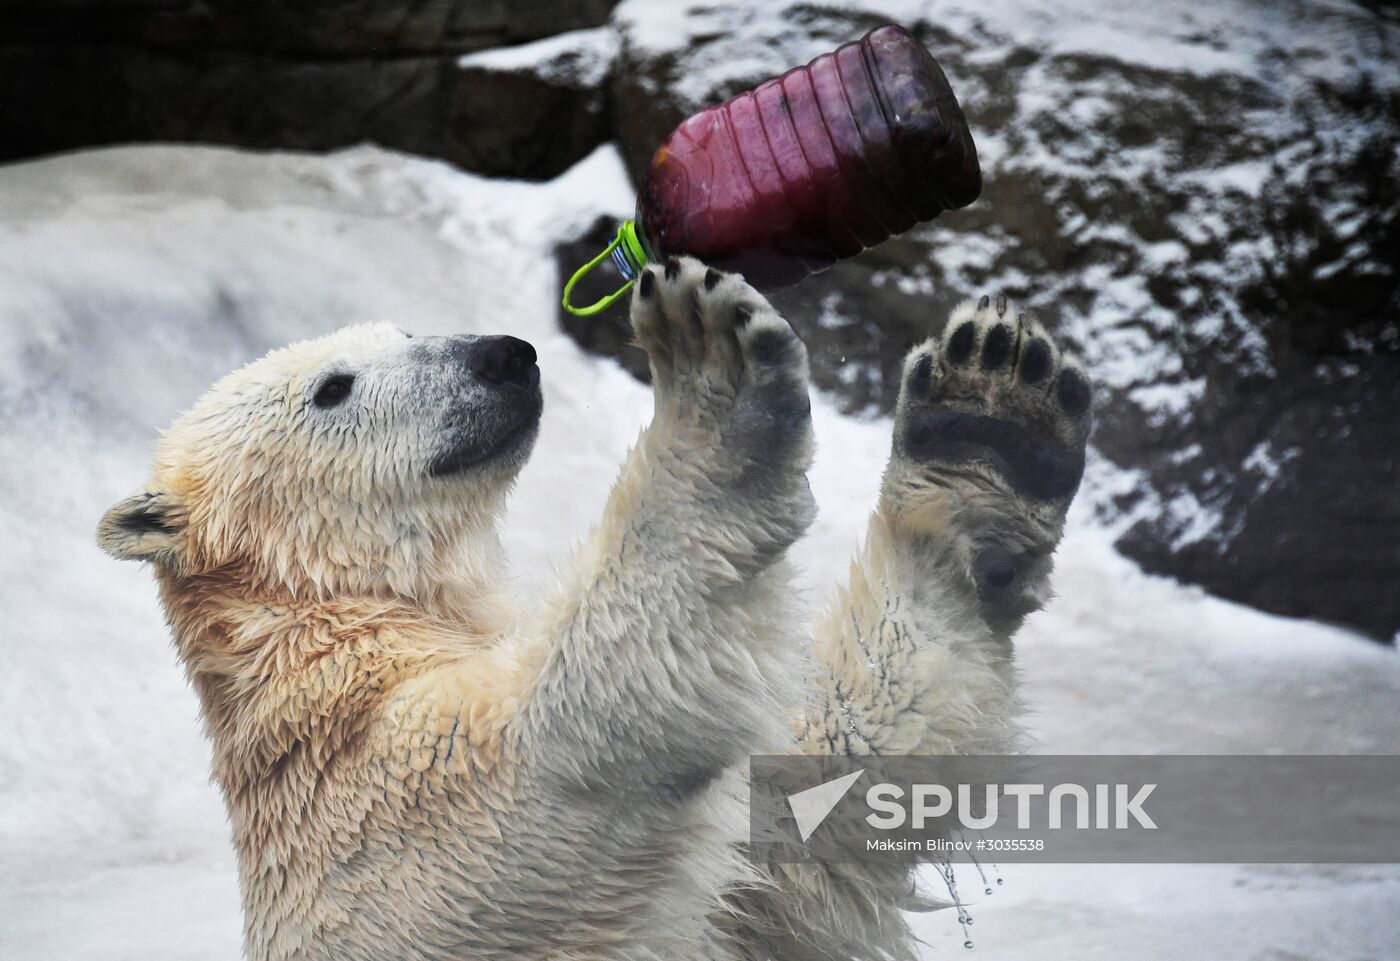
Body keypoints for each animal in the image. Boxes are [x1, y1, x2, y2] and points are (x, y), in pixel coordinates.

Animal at [98, 257, 1091, 961]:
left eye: (408, 329)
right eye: (332, 386)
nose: (500, 354)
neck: (326, 623)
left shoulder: (739, 885)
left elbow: (825, 795)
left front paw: (989, 422)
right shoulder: (371, 816)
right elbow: (567, 745)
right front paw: (711, 373)